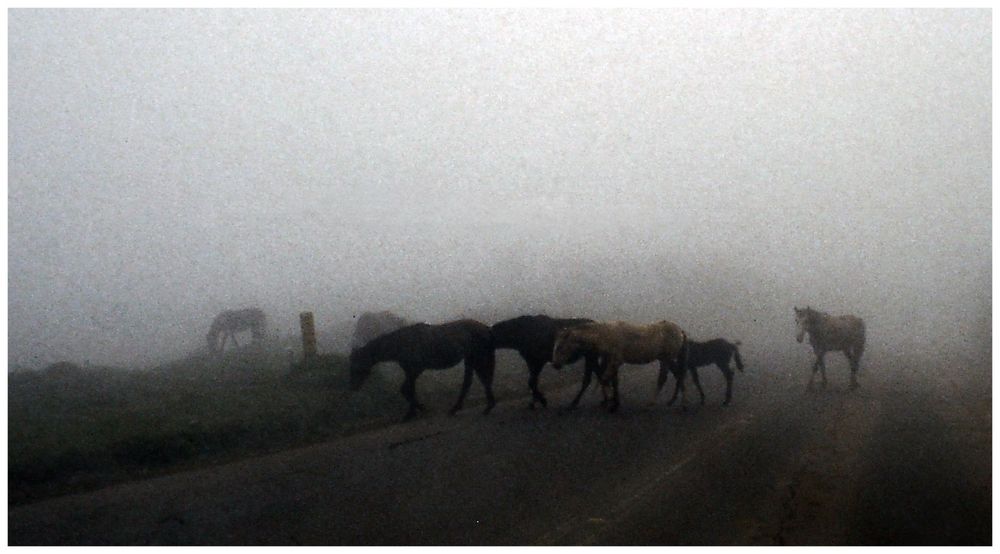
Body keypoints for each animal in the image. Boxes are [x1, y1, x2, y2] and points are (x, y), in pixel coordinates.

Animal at [350, 316, 498, 420]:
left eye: (357, 364)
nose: (354, 386)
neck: (401, 343)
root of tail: (486, 328)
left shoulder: (416, 370)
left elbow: (405, 389)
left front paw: (421, 409)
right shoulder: (409, 371)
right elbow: (410, 390)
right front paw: (411, 413)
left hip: (476, 357)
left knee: (481, 379)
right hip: (470, 359)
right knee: (474, 381)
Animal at [556, 316, 688, 412]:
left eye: (560, 346)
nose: (556, 364)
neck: (605, 334)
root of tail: (680, 331)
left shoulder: (616, 361)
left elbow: (604, 379)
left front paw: (609, 401)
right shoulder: (611, 361)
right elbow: (612, 381)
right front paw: (613, 403)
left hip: (667, 359)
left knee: (668, 377)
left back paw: (662, 403)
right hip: (665, 359)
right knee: (675, 376)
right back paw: (674, 402)